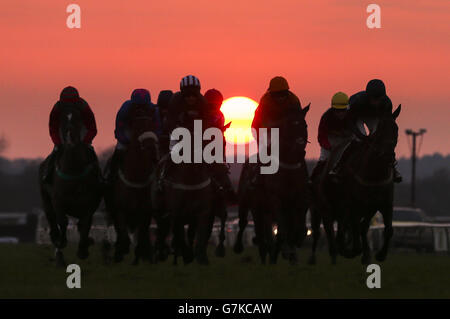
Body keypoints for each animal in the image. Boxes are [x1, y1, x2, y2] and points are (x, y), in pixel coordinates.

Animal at [38, 106, 102, 266]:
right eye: (62, 120)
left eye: (78, 119)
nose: (70, 139)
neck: (73, 169)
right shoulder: (58, 201)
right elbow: (62, 221)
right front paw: (61, 242)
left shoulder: (90, 203)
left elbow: (85, 223)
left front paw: (83, 249)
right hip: (45, 199)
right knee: (52, 219)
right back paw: (58, 251)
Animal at [104, 104, 161, 264]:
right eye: (139, 127)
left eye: (153, 124)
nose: (152, 150)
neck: (136, 176)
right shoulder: (120, 210)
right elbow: (123, 236)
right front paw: (121, 252)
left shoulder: (146, 212)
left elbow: (142, 236)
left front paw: (143, 256)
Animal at [342, 105, 400, 264]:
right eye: (380, 129)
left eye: (396, 129)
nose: (389, 156)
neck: (376, 173)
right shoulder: (363, 202)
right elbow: (359, 225)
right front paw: (362, 252)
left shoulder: (385, 202)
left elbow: (388, 229)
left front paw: (381, 254)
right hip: (350, 201)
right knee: (351, 222)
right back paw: (352, 249)